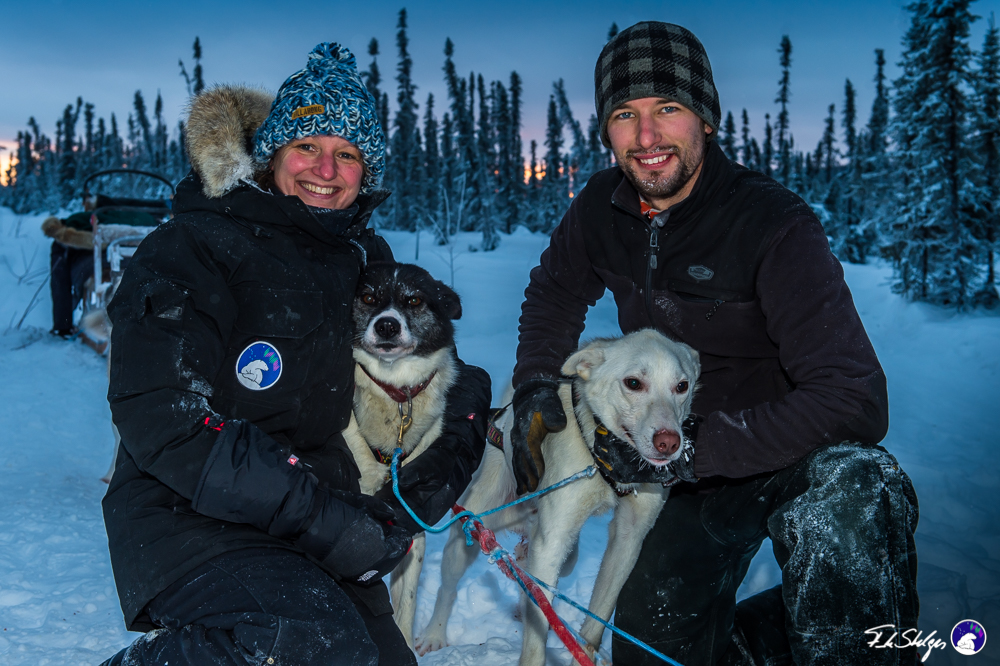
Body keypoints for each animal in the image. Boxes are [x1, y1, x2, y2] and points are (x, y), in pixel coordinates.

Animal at [418, 330, 700, 660]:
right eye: (633, 383)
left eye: (681, 386)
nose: (669, 442)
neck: (605, 461)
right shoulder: (552, 541)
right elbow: (537, 634)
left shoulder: (628, 538)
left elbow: (597, 617)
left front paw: (585, 652)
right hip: (471, 532)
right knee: (448, 588)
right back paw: (434, 634)